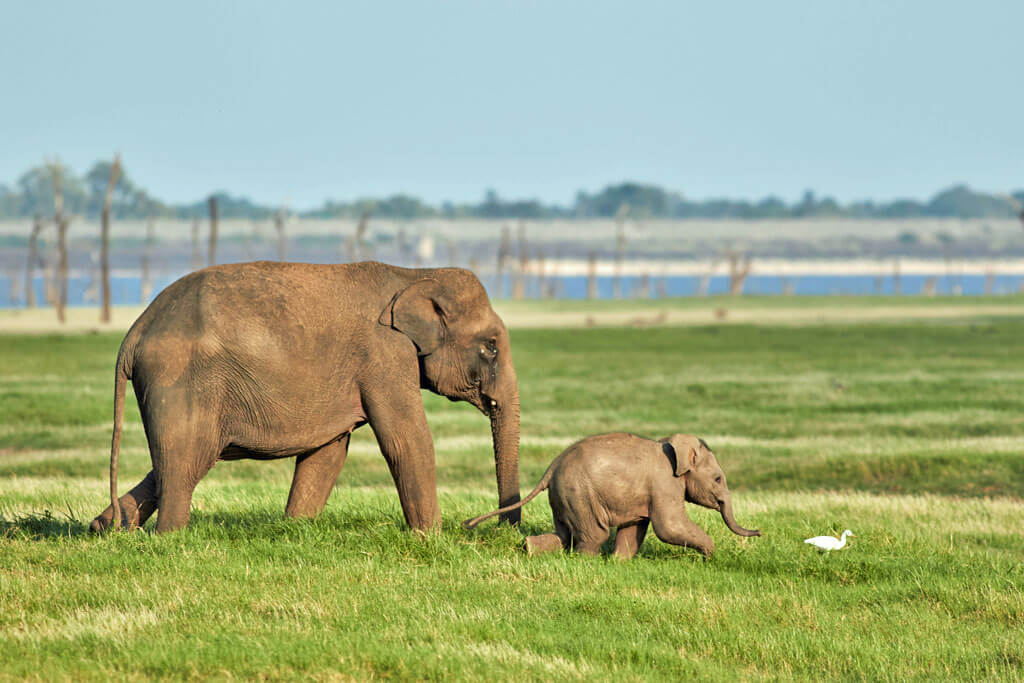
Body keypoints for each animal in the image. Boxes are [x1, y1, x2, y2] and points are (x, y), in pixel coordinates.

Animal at [90, 261, 521, 534]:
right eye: (491, 347)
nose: (496, 529)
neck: (414, 275)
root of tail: (136, 330)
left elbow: (328, 452)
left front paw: (296, 528)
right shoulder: (385, 355)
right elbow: (406, 439)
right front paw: (431, 537)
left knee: (174, 463)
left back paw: (105, 528)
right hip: (179, 380)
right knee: (185, 463)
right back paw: (170, 537)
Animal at [463, 432, 759, 557]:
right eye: (718, 479)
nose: (758, 533)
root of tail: (551, 468)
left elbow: (635, 527)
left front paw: (620, 563)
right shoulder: (665, 484)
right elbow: (668, 527)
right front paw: (709, 552)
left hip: (563, 496)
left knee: (564, 534)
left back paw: (528, 548)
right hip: (579, 493)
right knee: (594, 535)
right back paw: (585, 562)